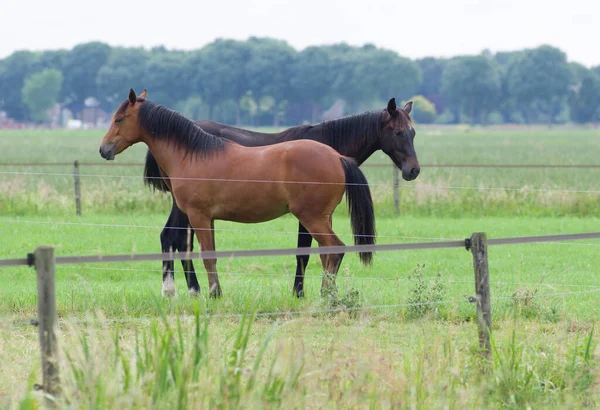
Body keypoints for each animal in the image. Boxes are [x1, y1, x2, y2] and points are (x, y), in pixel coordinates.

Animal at [99, 89, 376, 298]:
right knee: (327, 253)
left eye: (120, 119)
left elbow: (207, 256)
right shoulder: (207, 219)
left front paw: (214, 294)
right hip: (322, 218)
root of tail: (337, 157)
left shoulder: (198, 216)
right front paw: (216, 293)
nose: (104, 149)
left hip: (312, 218)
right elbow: (210, 255)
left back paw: (326, 296)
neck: (192, 154)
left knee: (335, 249)